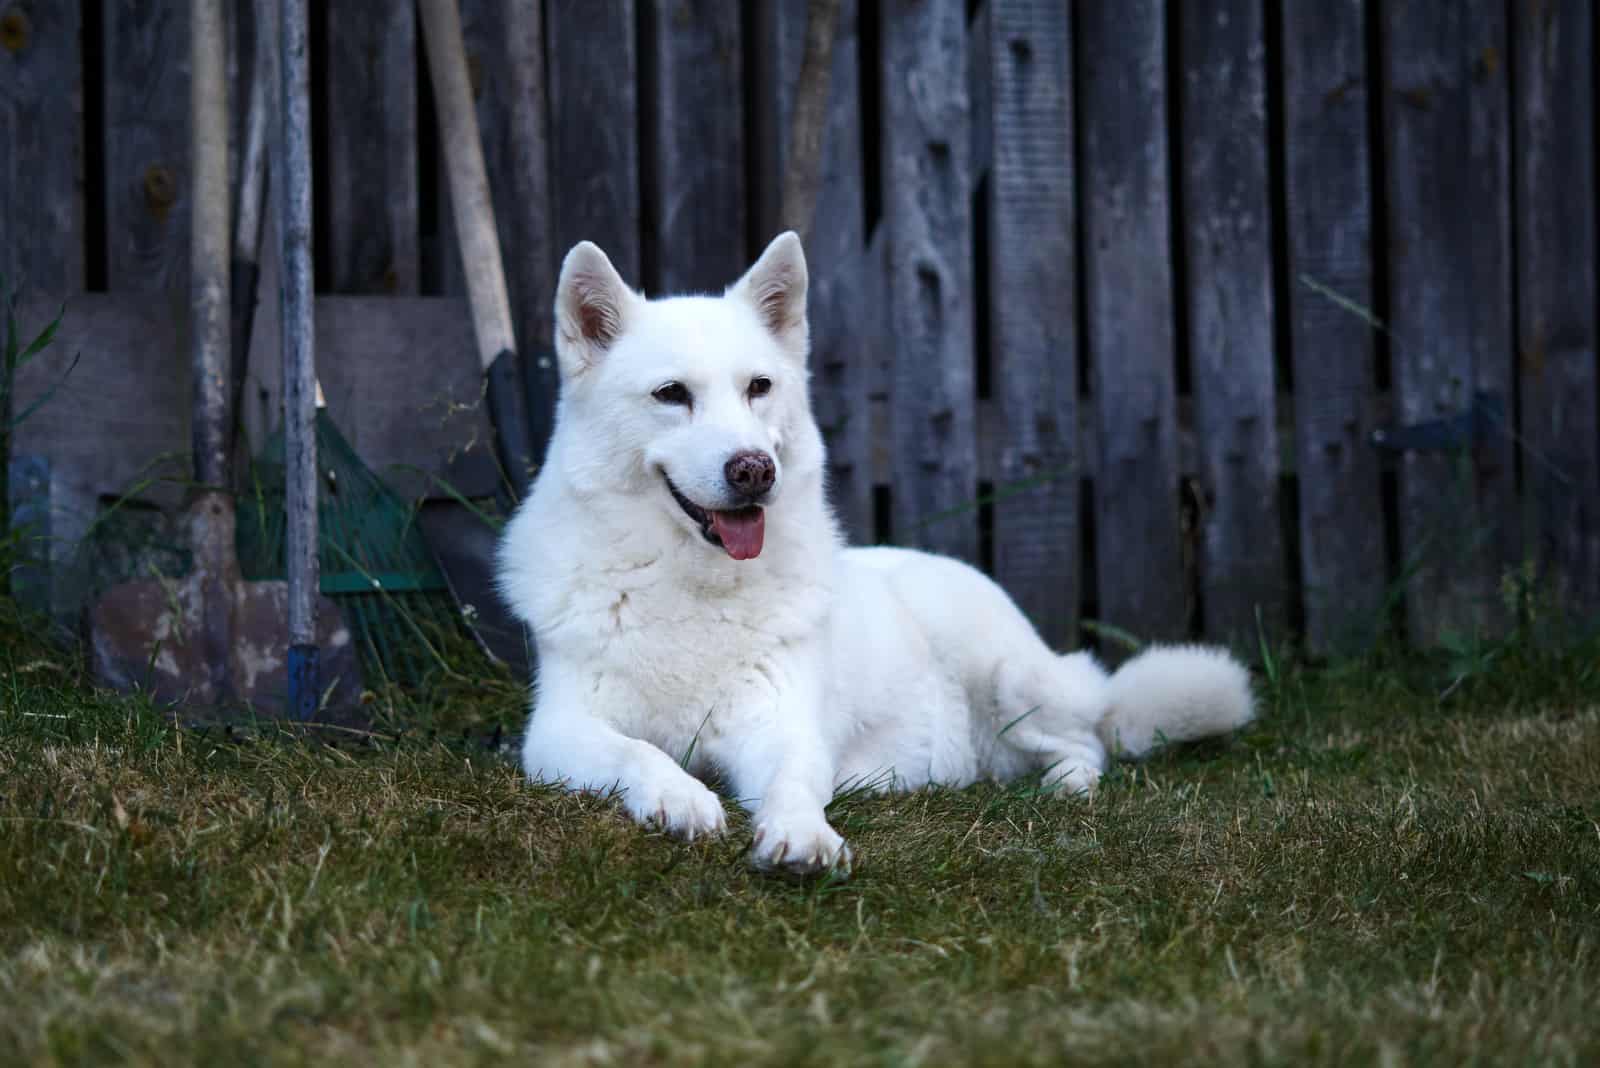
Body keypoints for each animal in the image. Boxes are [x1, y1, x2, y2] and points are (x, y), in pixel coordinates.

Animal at [492, 233, 1254, 876]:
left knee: (1089, 742)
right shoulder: (558, 733)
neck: (692, 586)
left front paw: (801, 836)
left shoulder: (783, 728)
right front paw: (679, 798)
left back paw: (1066, 785)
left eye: (759, 387)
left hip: (1010, 678)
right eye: (671, 394)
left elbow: (795, 784)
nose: (754, 470)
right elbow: (639, 751)